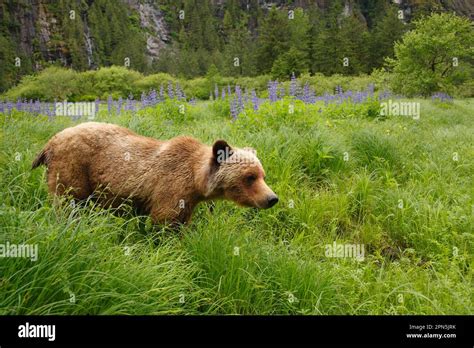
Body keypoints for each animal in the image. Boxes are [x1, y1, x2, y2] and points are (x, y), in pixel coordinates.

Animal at [32, 122, 278, 226]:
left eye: (262, 175)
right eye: (249, 177)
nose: (272, 198)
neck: (195, 182)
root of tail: (50, 142)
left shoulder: (187, 201)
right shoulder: (169, 189)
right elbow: (163, 222)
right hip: (73, 168)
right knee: (68, 203)